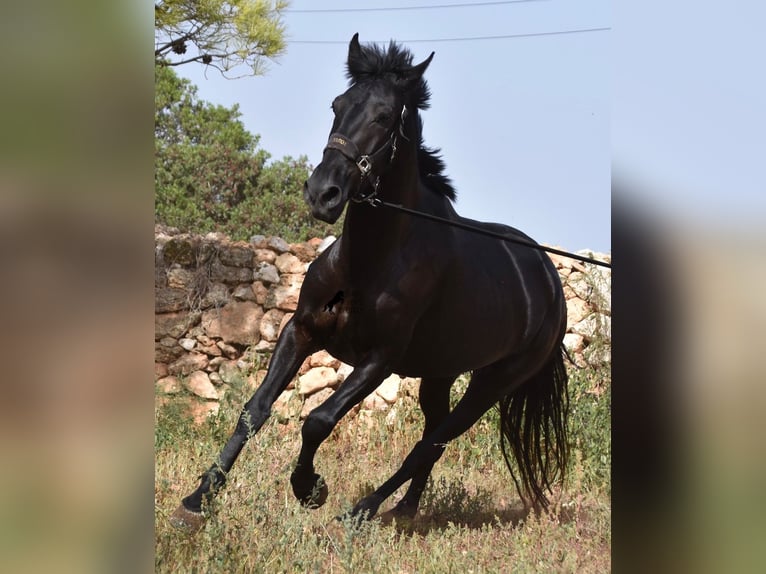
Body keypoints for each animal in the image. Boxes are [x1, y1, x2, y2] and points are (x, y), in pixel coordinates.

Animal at [174, 35, 568, 532]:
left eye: (383, 117)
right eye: (337, 105)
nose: (323, 194)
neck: (370, 261)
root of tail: (549, 280)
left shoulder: (379, 359)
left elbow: (318, 420)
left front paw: (311, 490)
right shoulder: (300, 331)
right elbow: (254, 410)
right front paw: (197, 500)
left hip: (492, 384)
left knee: (430, 443)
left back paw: (362, 511)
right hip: (440, 373)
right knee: (433, 437)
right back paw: (405, 509)